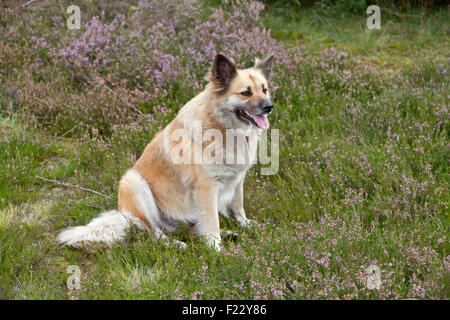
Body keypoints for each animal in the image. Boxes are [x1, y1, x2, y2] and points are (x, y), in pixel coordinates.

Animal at [57, 52, 274, 251]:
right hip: (134, 182)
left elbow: (238, 206)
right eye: (245, 93)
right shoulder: (206, 187)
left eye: (264, 90)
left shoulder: (237, 180)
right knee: (154, 231)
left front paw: (246, 225)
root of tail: (123, 215)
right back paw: (175, 244)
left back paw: (228, 233)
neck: (224, 128)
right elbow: (212, 222)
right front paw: (216, 252)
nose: (269, 107)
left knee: (190, 229)